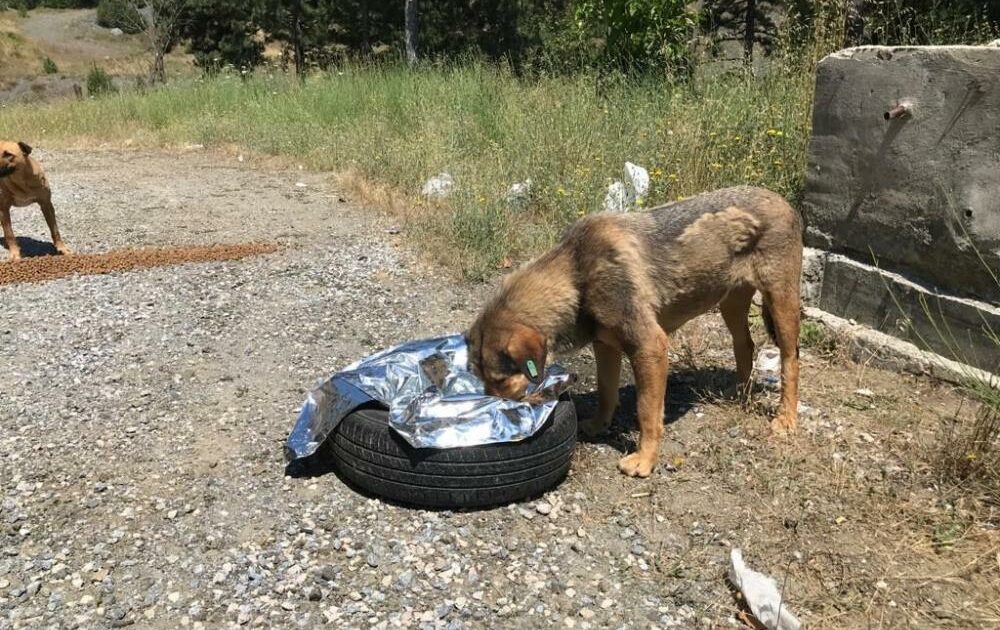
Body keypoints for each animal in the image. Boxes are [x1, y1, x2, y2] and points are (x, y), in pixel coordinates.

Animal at [468, 186, 804, 478]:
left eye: (500, 380)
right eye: (481, 378)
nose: (493, 411)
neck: (577, 276)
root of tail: (782, 200)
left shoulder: (650, 347)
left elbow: (647, 411)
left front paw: (645, 459)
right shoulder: (605, 346)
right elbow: (606, 391)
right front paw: (599, 424)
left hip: (781, 301)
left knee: (790, 360)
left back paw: (786, 418)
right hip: (731, 302)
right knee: (744, 344)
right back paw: (740, 394)